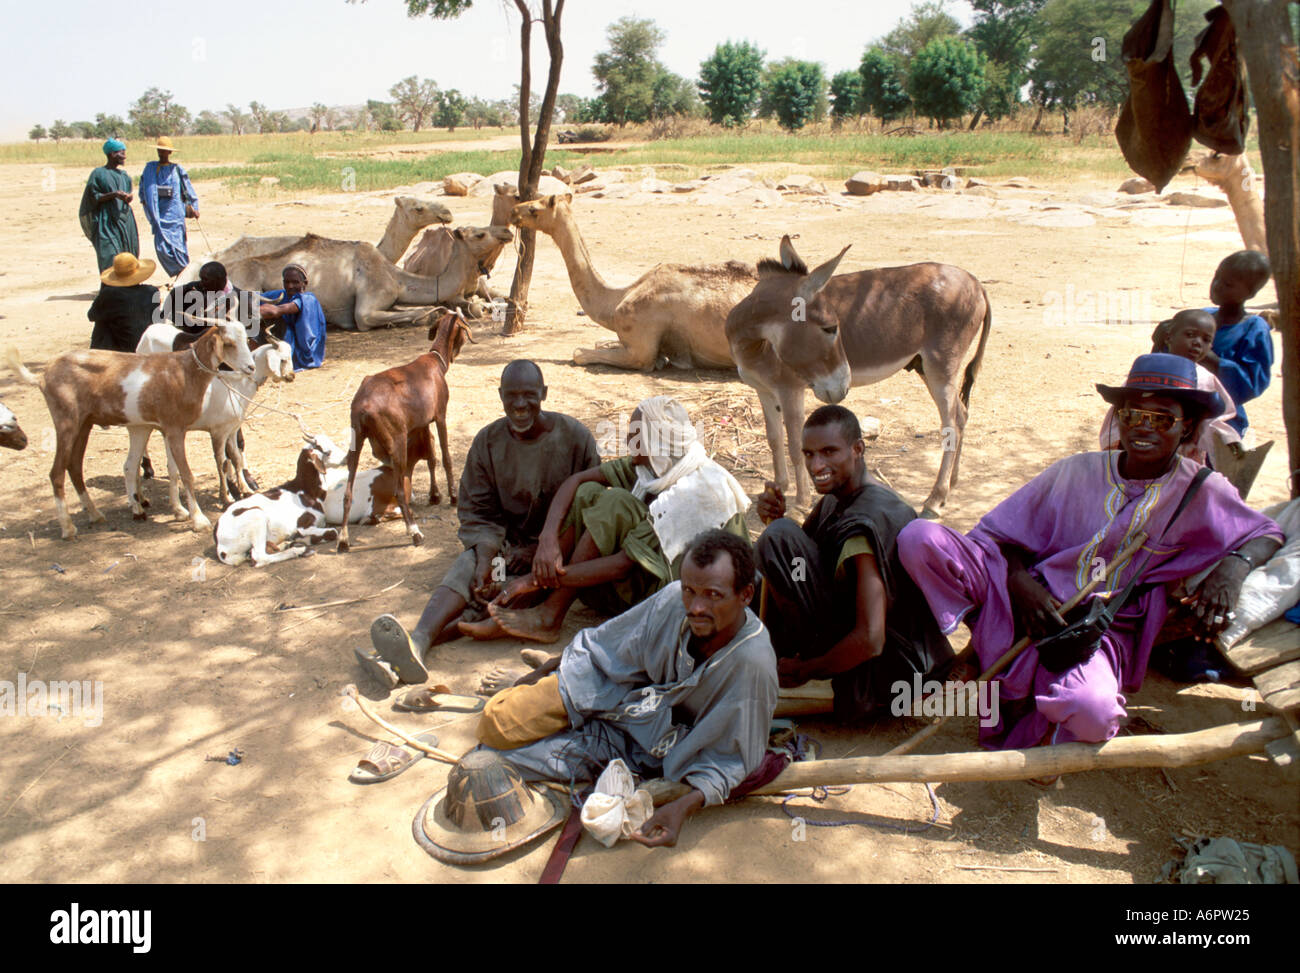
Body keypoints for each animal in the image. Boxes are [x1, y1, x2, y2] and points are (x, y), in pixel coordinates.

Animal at [338, 312, 475, 554]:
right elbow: (445, 456)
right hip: (397, 442)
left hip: (357, 439)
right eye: (463, 325)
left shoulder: (422, 423)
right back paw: (415, 532)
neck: (435, 362)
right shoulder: (440, 415)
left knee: (348, 491)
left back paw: (343, 540)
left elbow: (431, 457)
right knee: (399, 489)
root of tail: (363, 405)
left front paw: (434, 495)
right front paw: (452, 495)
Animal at [504, 193, 754, 369]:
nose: (513, 211)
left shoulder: (640, 347)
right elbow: (600, 342)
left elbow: (579, 353)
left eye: (534, 208)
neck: (618, 298)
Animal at [728, 236, 987, 517]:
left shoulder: (790, 389)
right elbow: (774, 439)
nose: (844, 387)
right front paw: (779, 486)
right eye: (830, 327)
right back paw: (952, 483)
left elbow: (795, 446)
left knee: (951, 423)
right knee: (962, 415)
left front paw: (800, 504)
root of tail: (975, 281)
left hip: (941, 366)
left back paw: (935, 499)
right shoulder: (763, 390)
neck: (754, 346)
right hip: (926, 367)